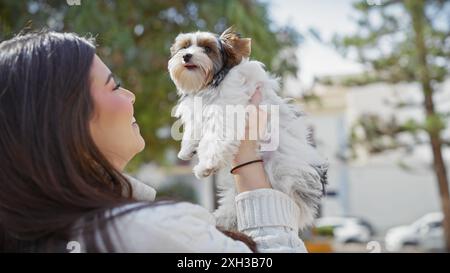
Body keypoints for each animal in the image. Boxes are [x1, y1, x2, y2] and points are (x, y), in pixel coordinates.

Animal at [169, 26, 326, 228]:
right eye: (185, 46)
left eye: (207, 49)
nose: (186, 56)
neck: (214, 81)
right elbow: (194, 128)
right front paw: (187, 149)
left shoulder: (227, 109)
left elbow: (215, 139)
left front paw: (206, 164)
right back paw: (223, 218)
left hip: (281, 171)